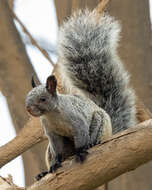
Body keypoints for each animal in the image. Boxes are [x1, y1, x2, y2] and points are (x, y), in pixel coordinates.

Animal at [25, 9, 137, 180]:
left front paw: (81, 152)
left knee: (93, 137)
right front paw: (55, 164)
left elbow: (81, 135)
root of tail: (111, 132)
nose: (29, 109)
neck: (52, 115)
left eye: (43, 99)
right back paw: (45, 172)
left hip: (99, 123)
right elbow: (57, 152)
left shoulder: (78, 121)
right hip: (51, 150)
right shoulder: (52, 134)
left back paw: (91, 145)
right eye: (27, 97)